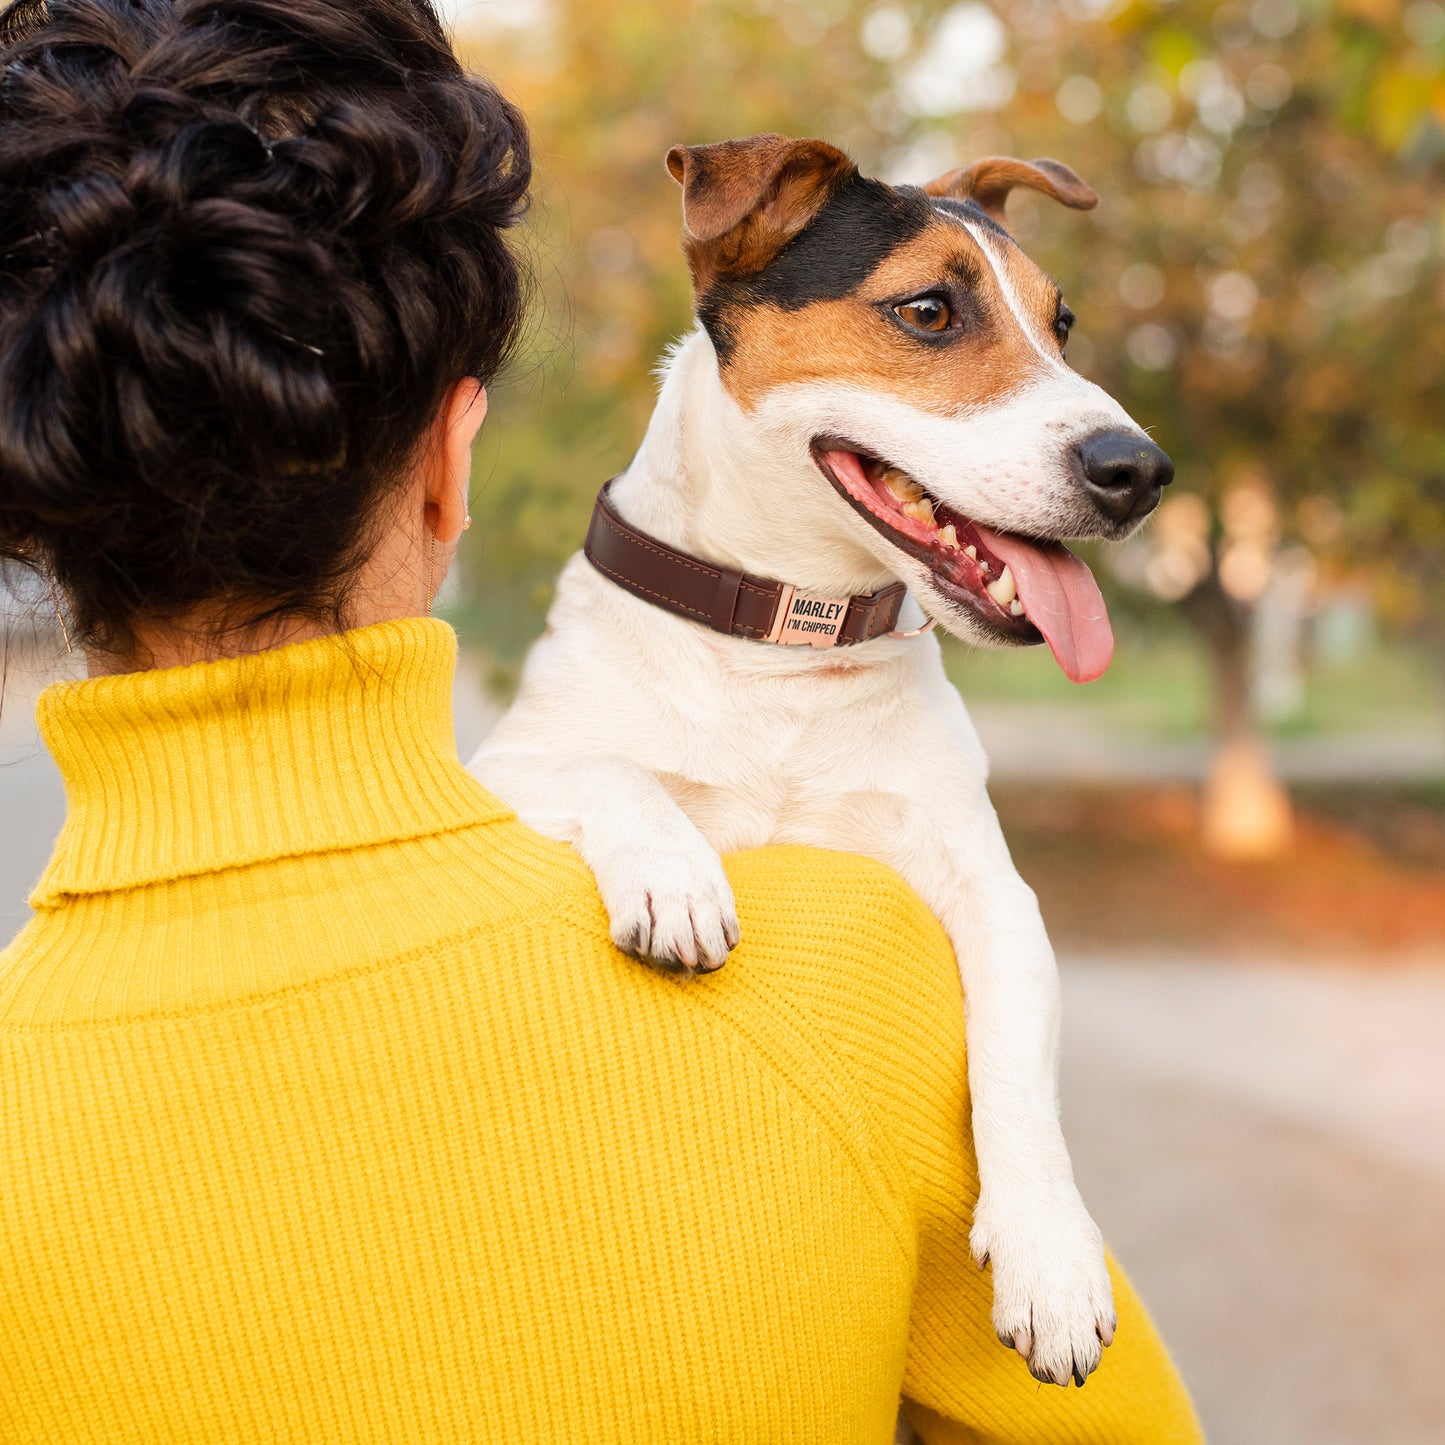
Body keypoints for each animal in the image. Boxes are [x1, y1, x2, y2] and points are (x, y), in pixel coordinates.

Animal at [471, 137, 1173, 1387]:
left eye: (1062, 322)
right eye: (928, 310)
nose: (1137, 469)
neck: (780, 645)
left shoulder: (991, 892)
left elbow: (1013, 1069)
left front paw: (1048, 1255)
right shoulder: (507, 760)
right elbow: (614, 771)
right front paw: (675, 874)